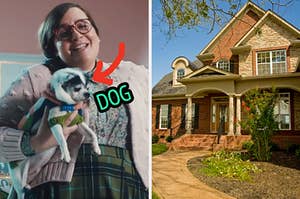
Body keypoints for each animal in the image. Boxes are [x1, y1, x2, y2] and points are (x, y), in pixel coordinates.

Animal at [9, 67, 101, 198]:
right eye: (77, 88)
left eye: (87, 88)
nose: (87, 94)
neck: (66, 104)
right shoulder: (54, 122)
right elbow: (62, 140)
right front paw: (66, 154)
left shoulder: (76, 122)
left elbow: (92, 133)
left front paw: (96, 147)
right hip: (16, 173)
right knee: (19, 191)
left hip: (36, 164)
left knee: (26, 180)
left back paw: (27, 185)